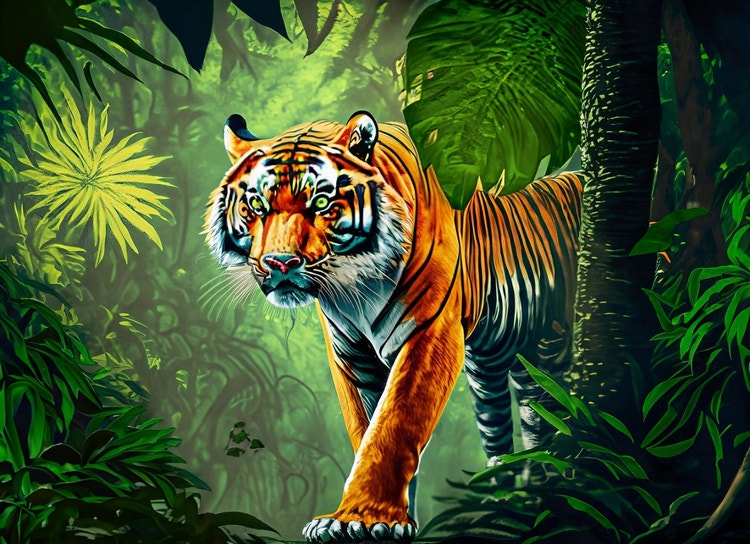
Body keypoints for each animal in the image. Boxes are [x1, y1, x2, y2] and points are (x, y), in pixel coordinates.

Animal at [205, 111, 582, 544]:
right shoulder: (352, 357)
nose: (279, 263)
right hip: (496, 368)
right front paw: (386, 520)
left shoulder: (429, 331)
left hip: (556, 351)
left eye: (321, 203)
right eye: (256, 205)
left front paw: (360, 519)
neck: (355, 289)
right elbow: (365, 430)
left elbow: (393, 425)